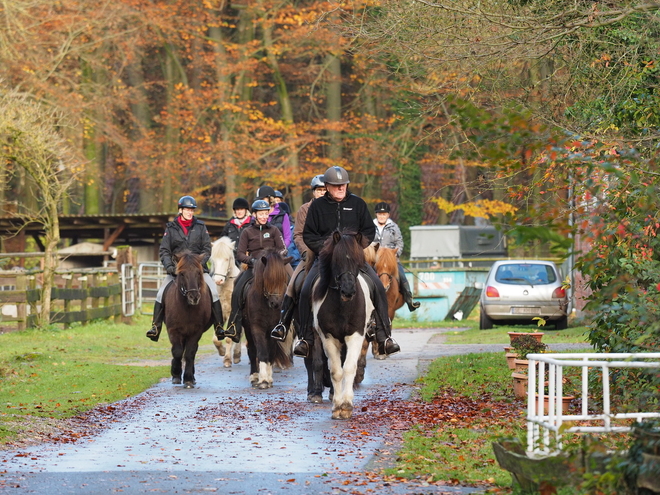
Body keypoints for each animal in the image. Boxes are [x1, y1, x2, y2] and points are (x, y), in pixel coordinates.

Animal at [162, 254, 211, 390]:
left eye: (198, 272)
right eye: (182, 274)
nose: (194, 297)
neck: (187, 308)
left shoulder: (196, 332)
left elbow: (189, 353)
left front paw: (188, 379)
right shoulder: (173, 330)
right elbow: (177, 351)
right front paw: (176, 375)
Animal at [209, 236, 242, 368]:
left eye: (227, 259)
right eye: (213, 259)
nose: (218, 280)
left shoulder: (233, 313)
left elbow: (229, 337)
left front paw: (227, 359)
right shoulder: (221, 313)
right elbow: (216, 338)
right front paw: (222, 351)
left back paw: (236, 355)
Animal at [242, 250, 294, 390]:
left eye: (284, 279)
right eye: (267, 278)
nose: (276, 303)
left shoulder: (273, 329)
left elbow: (271, 353)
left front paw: (269, 378)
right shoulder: (257, 328)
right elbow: (261, 351)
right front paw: (263, 380)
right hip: (248, 330)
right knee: (252, 350)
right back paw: (254, 377)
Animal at [310, 231, 374, 420]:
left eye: (358, 260)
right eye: (336, 260)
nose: (348, 291)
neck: (343, 306)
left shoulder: (356, 335)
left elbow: (349, 368)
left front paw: (347, 405)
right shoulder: (328, 338)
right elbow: (336, 371)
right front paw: (338, 406)